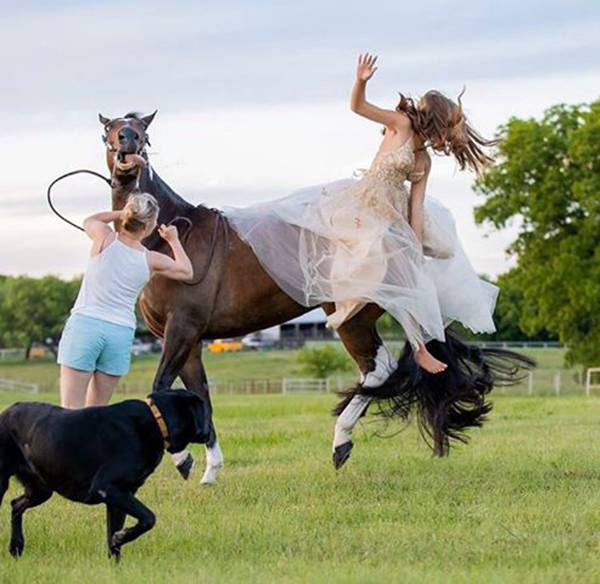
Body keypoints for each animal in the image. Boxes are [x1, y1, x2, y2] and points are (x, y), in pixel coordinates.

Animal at [0, 390, 211, 560]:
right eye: (207, 412)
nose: (210, 432)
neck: (156, 421)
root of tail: (6, 412)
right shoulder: (107, 488)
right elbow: (149, 518)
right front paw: (122, 536)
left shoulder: (121, 496)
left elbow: (114, 535)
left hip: (41, 489)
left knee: (15, 505)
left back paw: (16, 546)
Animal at [99, 110, 536, 484]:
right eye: (110, 131)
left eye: (143, 133)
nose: (127, 148)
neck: (170, 238)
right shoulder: (188, 340)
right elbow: (198, 395)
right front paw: (209, 469)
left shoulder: (182, 329)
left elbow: (159, 385)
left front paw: (183, 459)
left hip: (351, 318)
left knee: (379, 368)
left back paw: (341, 439)